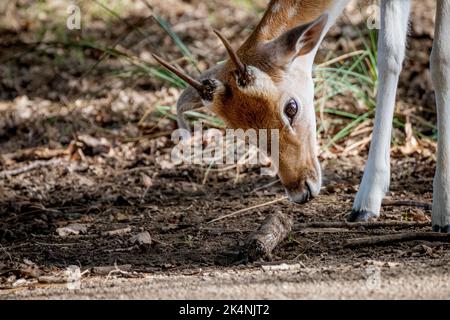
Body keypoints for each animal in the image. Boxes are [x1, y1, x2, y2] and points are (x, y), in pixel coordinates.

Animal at [153, 0, 450, 232]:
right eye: (243, 132)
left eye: (291, 108)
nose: (300, 191)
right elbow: (389, 55)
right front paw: (364, 204)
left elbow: (440, 60)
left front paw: (443, 213)